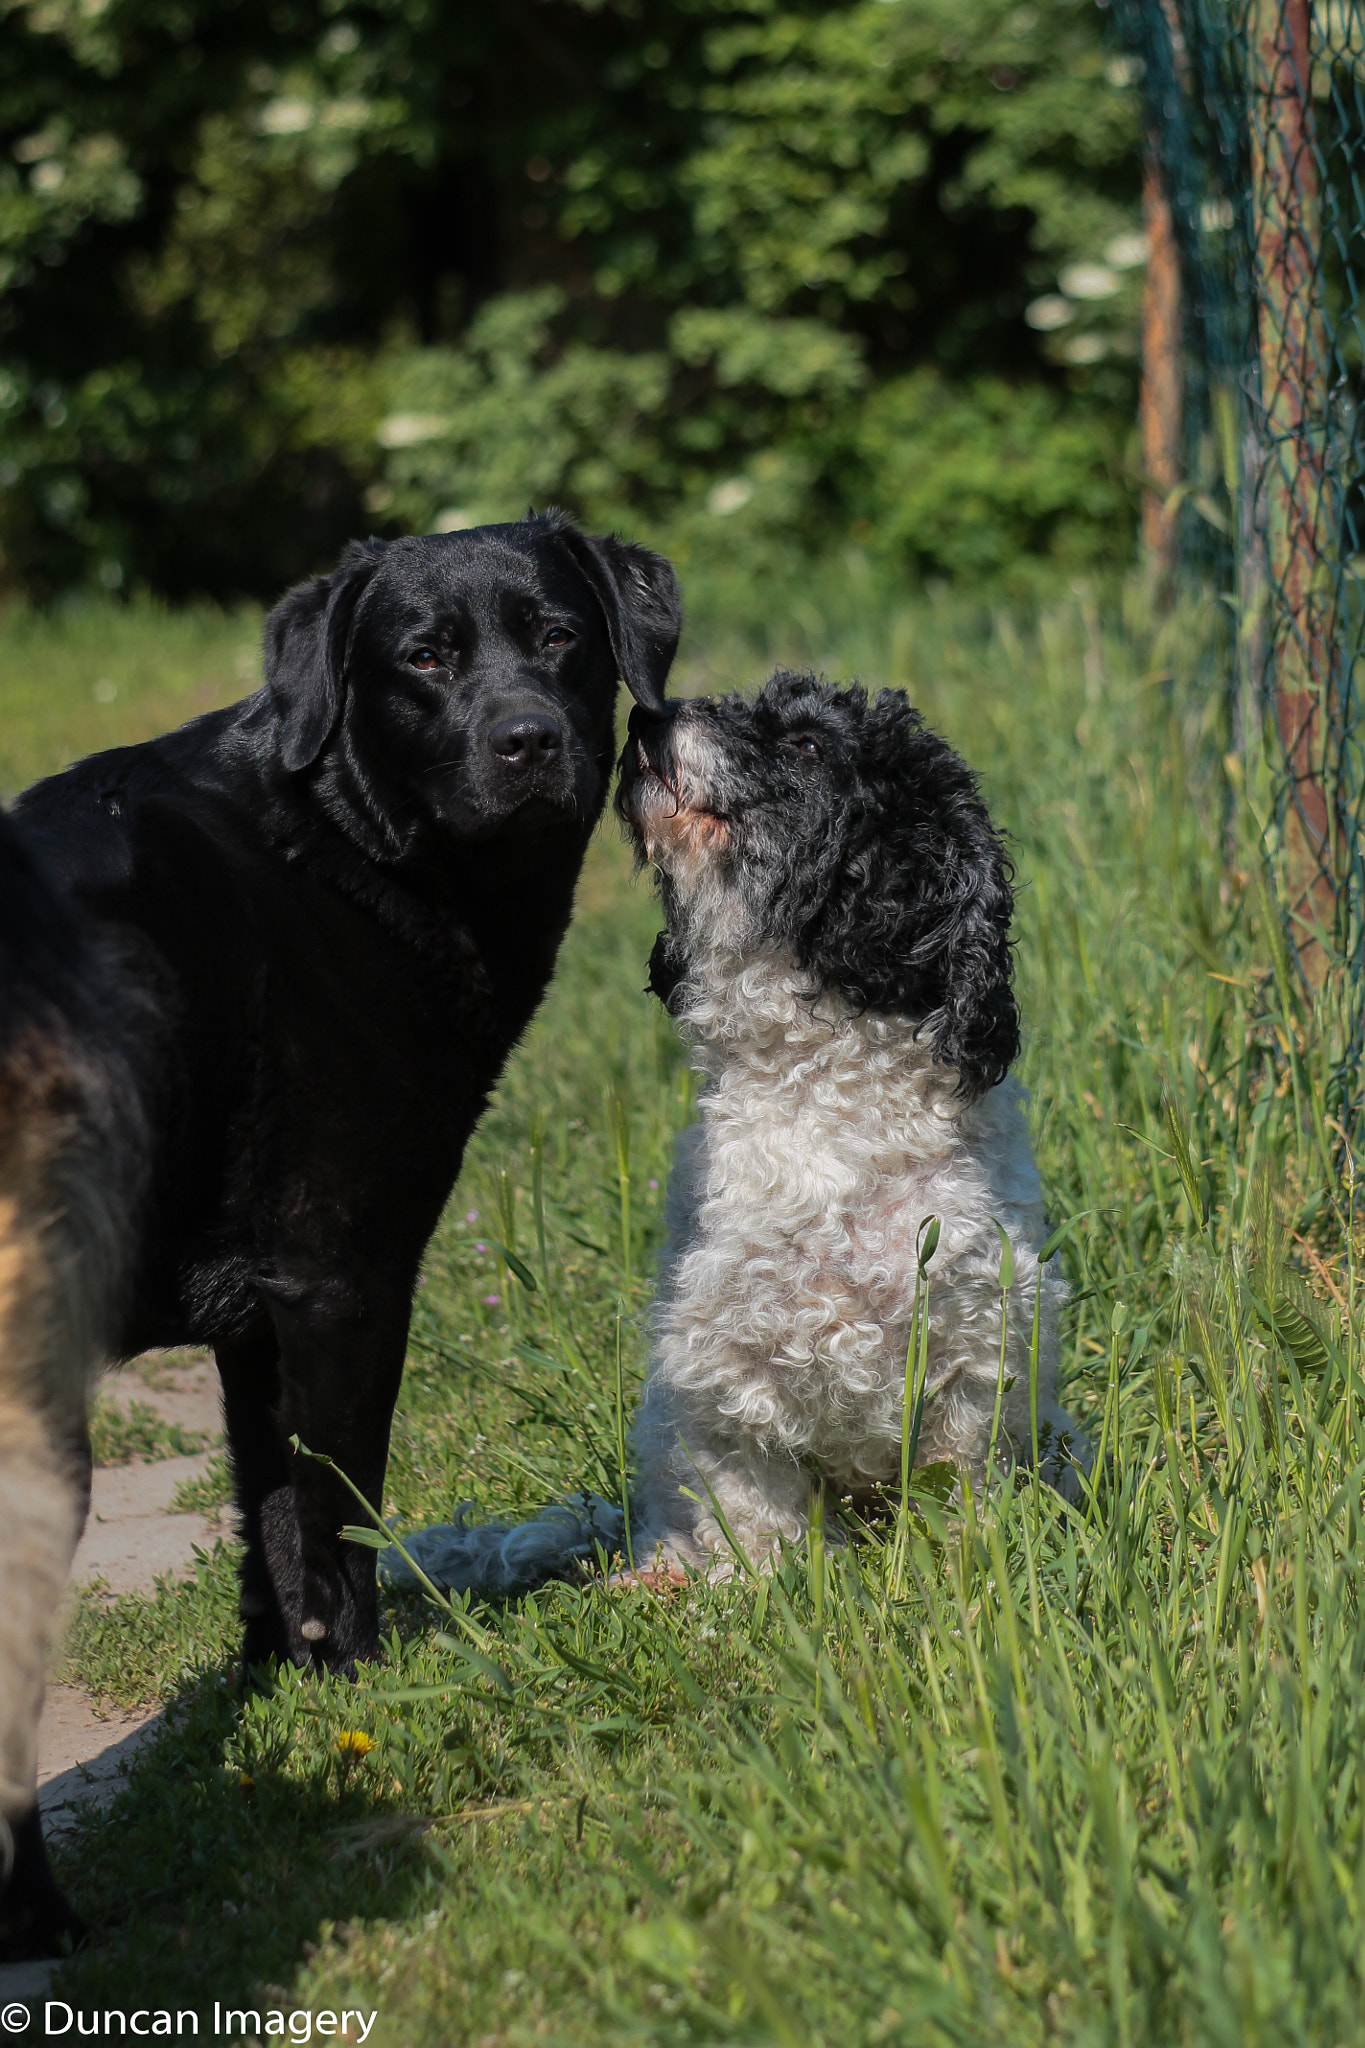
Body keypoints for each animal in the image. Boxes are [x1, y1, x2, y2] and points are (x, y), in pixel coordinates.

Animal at [0, 507, 683, 1949]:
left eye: (560, 637)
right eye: (422, 657)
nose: (527, 740)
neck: (348, 835)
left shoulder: (258, 1318)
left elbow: (268, 1519)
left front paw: (282, 1699)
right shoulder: (345, 1279)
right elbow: (338, 1519)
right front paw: (367, 1690)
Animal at [388, 671, 1080, 1597]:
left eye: (807, 745)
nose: (644, 718)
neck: (820, 1103)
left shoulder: (975, 1348)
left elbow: (956, 1485)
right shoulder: (722, 1371)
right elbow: (754, 1516)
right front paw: (765, 1602)